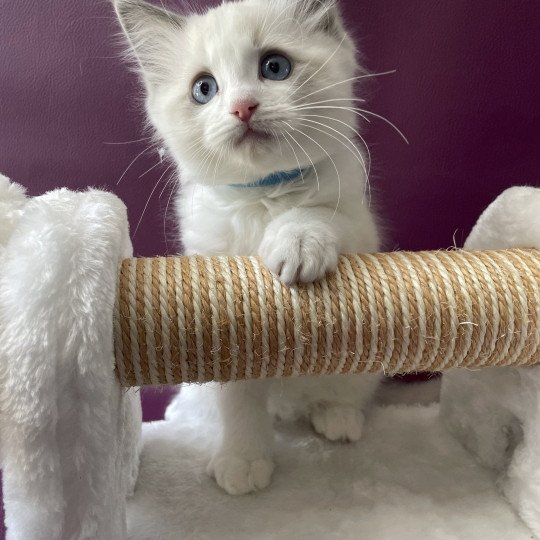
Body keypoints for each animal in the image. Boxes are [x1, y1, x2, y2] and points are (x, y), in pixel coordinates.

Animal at [116, 0, 382, 496]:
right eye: (204, 89)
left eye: (274, 67)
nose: (243, 107)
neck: (263, 194)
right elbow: (238, 400)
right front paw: (243, 459)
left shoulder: (359, 225)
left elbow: (314, 215)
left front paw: (295, 243)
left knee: (342, 390)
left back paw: (336, 417)